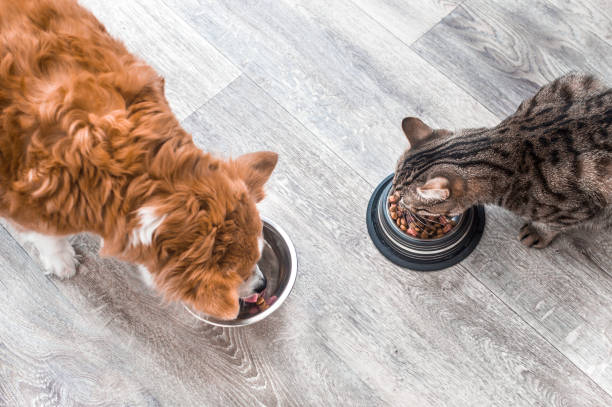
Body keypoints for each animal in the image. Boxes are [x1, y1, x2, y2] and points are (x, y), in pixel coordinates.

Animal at [0, 0, 278, 318]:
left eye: (258, 256)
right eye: (237, 275)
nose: (262, 284)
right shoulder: (26, 201)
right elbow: (47, 236)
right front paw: (62, 261)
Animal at [392, 73, 612, 249]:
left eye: (408, 202)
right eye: (394, 186)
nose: (396, 202)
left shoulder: (576, 210)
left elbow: (551, 224)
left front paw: (537, 232)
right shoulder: (576, 82)